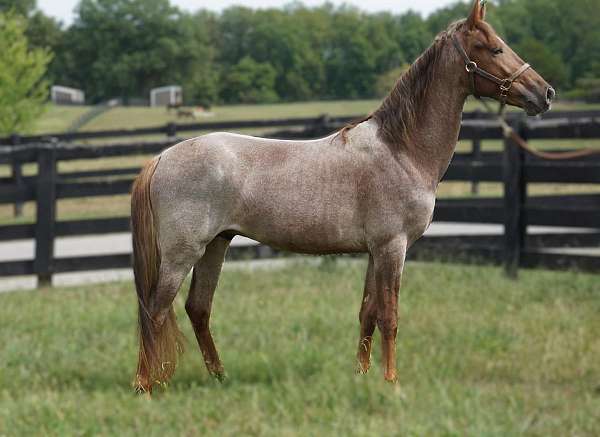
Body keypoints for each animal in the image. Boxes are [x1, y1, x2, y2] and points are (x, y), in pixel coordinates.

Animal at [131, 0, 552, 392]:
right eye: (495, 48)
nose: (545, 93)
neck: (400, 150)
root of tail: (162, 158)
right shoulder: (392, 247)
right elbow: (389, 317)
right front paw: (391, 382)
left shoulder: (375, 251)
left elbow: (367, 314)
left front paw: (362, 377)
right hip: (183, 253)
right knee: (155, 310)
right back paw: (147, 387)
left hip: (216, 245)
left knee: (198, 309)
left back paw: (220, 378)